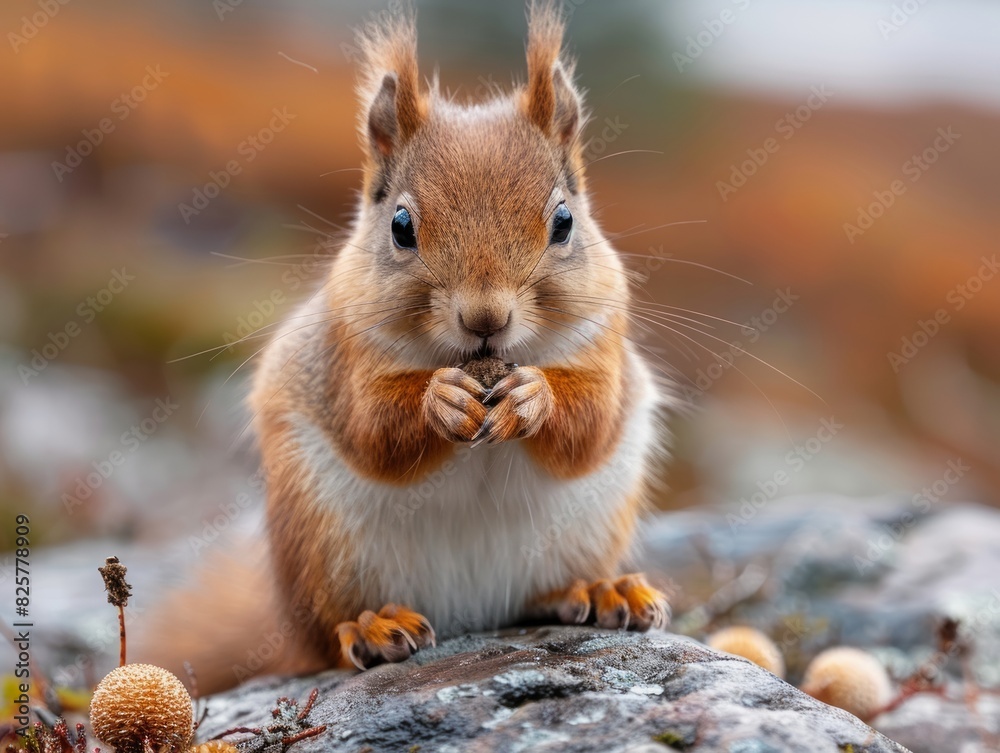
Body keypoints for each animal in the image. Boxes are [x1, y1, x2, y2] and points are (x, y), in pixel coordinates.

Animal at [139, 1, 671, 693]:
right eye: (400, 226)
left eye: (563, 223)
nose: (485, 318)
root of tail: (474, 613)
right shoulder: (346, 353)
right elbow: (373, 429)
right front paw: (439, 400)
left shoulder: (605, 336)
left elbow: (593, 422)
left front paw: (534, 396)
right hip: (322, 542)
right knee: (325, 634)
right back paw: (371, 627)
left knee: (544, 592)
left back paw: (599, 590)